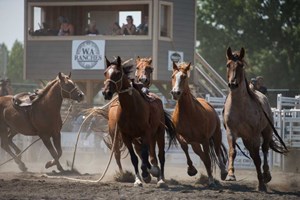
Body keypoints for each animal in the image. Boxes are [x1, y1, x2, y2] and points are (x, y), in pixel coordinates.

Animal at [102, 56, 177, 188]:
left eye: (118, 73)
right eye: (105, 73)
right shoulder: (127, 137)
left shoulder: (145, 133)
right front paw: (138, 179)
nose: (106, 93)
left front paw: (148, 174)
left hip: (159, 133)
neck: (131, 108)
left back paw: (161, 179)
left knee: (160, 156)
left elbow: (145, 156)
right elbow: (135, 158)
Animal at [224, 47, 288, 191]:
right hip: (247, 139)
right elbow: (232, 152)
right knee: (254, 155)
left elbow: (258, 158)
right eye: (228, 65)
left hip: (266, 132)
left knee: (264, 150)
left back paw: (266, 175)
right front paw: (230, 174)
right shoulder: (231, 132)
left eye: (241, 65)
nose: (233, 84)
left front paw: (262, 183)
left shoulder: (255, 134)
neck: (240, 106)